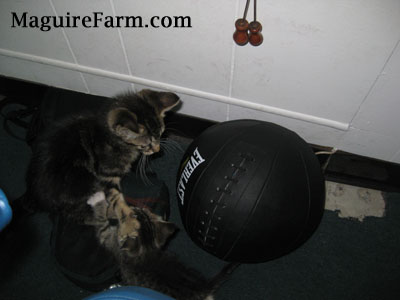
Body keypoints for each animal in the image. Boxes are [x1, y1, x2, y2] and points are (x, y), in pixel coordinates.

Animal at [27, 89, 180, 227]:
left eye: (161, 135)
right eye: (146, 144)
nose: (158, 150)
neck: (111, 137)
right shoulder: (108, 176)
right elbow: (116, 200)